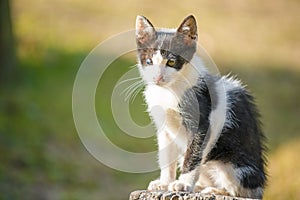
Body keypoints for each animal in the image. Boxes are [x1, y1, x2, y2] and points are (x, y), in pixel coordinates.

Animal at [135, 14, 266, 198]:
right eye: (149, 61)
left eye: (171, 62)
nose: (158, 78)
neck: (170, 90)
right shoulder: (164, 128)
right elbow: (167, 156)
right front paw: (164, 182)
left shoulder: (202, 124)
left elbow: (193, 154)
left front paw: (182, 184)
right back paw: (198, 187)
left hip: (233, 164)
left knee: (240, 190)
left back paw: (215, 190)